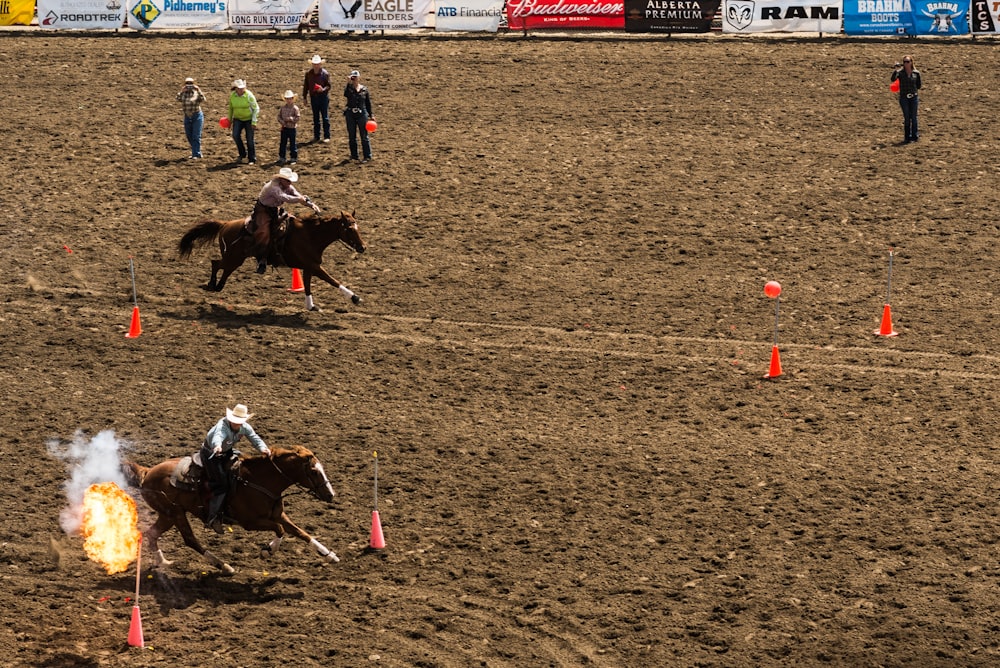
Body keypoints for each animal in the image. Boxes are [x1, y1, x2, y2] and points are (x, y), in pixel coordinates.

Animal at [119, 446, 340, 572]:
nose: (331, 495)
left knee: (151, 534)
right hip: (174, 513)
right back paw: (224, 566)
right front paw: (267, 551)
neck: (259, 481)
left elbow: (301, 533)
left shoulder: (279, 515)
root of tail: (148, 473)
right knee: (190, 540)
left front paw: (329, 555)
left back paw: (163, 562)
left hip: (167, 515)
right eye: (314, 471)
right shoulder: (251, 522)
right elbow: (280, 530)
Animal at [179, 210, 368, 312]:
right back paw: (212, 285)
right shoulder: (314, 266)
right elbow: (332, 280)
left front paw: (311, 306)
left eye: (357, 226)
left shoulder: (309, 267)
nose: (363, 247)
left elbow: (307, 286)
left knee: (223, 268)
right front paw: (355, 297)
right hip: (233, 258)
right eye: (349, 228)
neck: (310, 235)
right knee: (215, 263)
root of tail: (225, 224)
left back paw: (218, 286)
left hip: (234, 259)